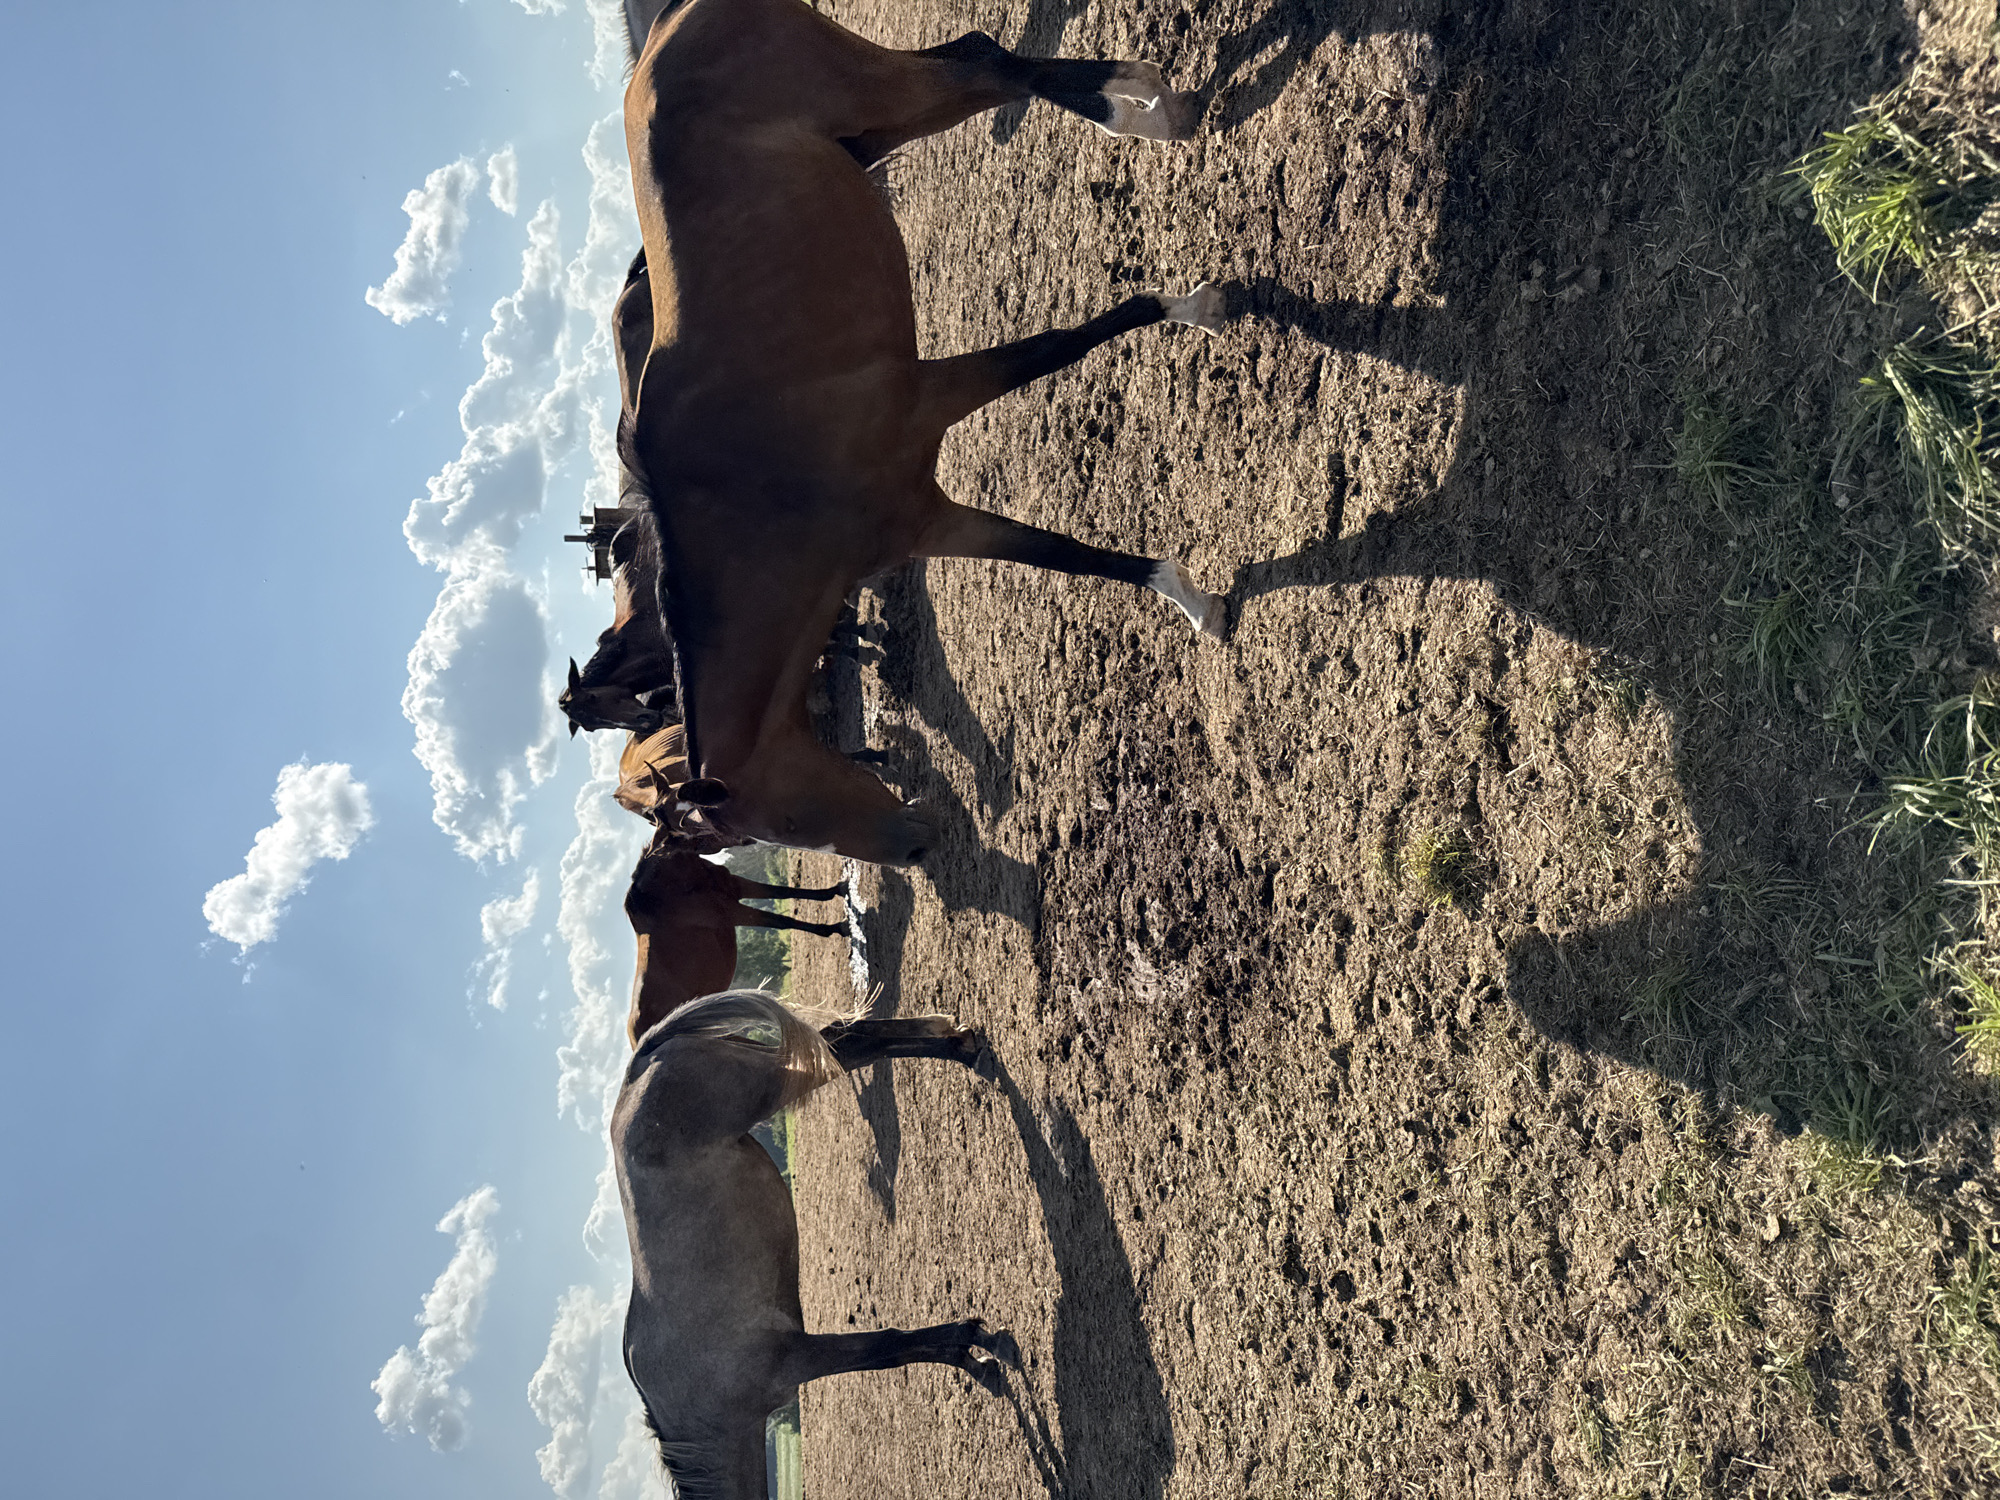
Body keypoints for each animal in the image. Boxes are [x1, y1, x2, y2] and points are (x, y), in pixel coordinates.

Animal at [614, 990, 1012, 1500]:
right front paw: (973, 1356)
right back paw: (960, 1043)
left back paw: (963, 1048)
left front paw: (976, 1344)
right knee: (846, 1039)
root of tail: (638, 1063)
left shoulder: (800, 1359)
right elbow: (897, 1351)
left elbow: (888, 1348)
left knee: (849, 1042)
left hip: (775, 1083)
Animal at [619, 0, 1228, 866]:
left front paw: (1195, 306)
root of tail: (671, 23)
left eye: (787, 825)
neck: (761, 495)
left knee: (993, 66)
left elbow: (1066, 344)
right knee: (985, 63)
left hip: (883, 95)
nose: (910, 848)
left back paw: (1138, 108)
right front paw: (1190, 600)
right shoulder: (924, 517)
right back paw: (1146, 103)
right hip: (886, 124)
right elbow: (1063, 556)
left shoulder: (930, 398)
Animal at [624, 846, 850, 1045]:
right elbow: (782, 921)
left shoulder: (737, 886)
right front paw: (835, 928)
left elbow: (783, 892)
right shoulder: (734, 911)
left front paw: (835, 890)